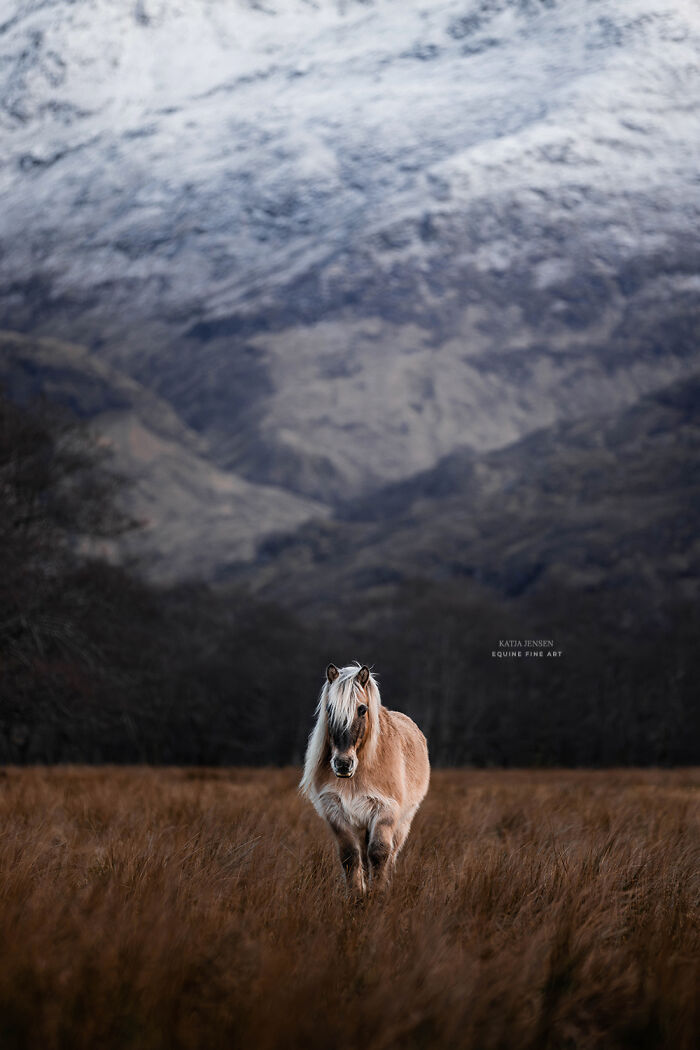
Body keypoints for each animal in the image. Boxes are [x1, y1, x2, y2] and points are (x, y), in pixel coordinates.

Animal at [300, 662, 430, 897]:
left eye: (362, 709)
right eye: (329, 709)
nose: (343, 764)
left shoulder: (386, 810)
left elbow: (379, 854)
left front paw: (378, 895)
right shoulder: (335, 810)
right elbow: (350, 856)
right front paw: (357, 895)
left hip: (402, 822)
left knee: (391, 854)